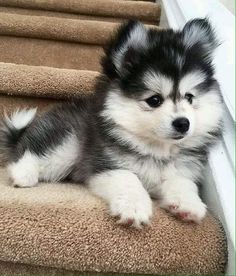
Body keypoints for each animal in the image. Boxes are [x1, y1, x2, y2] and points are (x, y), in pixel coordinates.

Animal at [0, 18, 223, 227]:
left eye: (189, 97)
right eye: (154, 100)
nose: (183, 123)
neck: (156, 150)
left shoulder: (181, 171)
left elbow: (183, 183)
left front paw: (189, 204)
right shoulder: (104, 165)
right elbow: (129, 178)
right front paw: (134, 207)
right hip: (68, 144)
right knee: (28, 154)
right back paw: (22, 175)